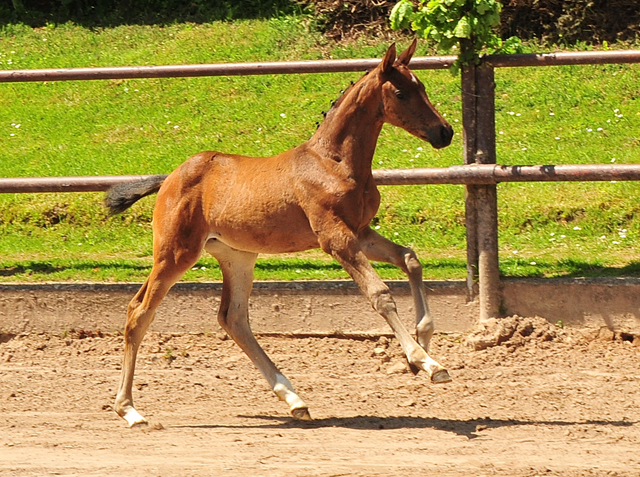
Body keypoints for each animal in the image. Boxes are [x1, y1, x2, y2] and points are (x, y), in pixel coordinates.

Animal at [106, 41, 456, 426]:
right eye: (401, 92)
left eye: (422, 87)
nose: (445, 132)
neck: (334, 163)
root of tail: (168, 179)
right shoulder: (335, 238)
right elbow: (379, 294)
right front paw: (426, 362)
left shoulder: (360, 232)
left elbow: (410, 258)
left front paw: (422, 344)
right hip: (175, 253)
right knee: (139, 312)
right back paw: (129, 410)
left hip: (237, 256)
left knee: (233, 318)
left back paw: (293, 399)